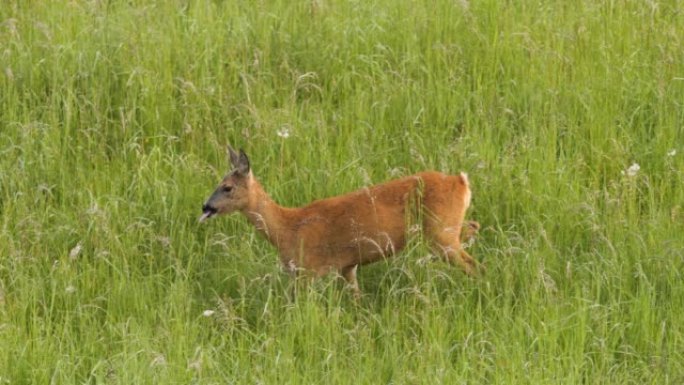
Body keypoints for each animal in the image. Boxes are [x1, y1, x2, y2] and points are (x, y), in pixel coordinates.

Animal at [199, 147, 480, 296]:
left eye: (226, 187)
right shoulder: (347, 266)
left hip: (441, 233)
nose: (206, 207)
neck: (286, 228)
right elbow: (357, 299)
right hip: (447, 228)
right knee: (473, 229)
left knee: (474, 265)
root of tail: (460, 181)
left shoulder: (307, 271)